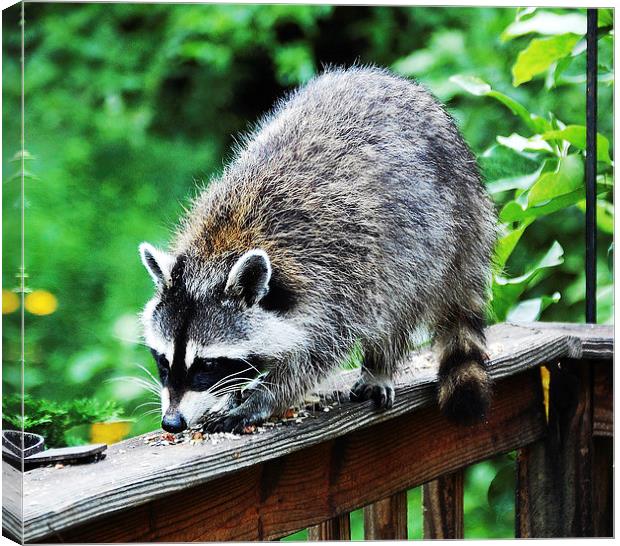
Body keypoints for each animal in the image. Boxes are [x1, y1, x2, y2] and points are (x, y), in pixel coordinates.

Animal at [139, 65, 494, 434]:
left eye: (207, 365)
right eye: (163, 361)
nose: (172, 422)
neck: (222, 245)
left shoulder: (340, 280)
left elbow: (314, 357)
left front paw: (263, 399)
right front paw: (237, 391)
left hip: (432, 238)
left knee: (398, 305)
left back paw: (380, 364)